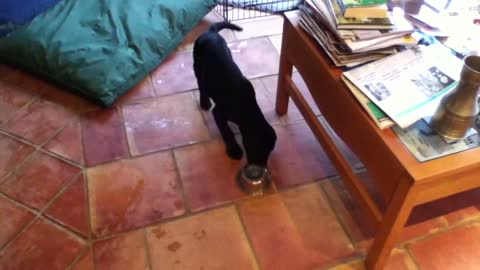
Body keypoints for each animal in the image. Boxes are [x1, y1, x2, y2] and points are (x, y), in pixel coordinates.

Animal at [194, 22, 278, 167]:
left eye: (269, 151)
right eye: (259, 148)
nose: (263, 167)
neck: (246, 106)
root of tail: (210, 32)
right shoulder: (219, 113)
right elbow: (227, 132)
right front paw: (234, 150)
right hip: (197, 64)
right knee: (200, 83)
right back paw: (204, 102)